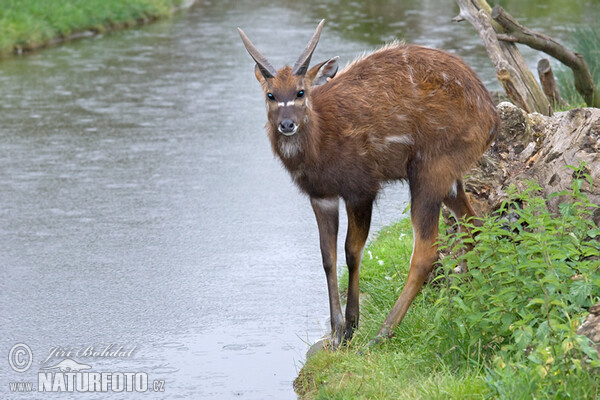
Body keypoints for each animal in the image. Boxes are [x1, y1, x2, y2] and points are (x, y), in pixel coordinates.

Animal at [239, 20, 502, 348]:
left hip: (429, 171)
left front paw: (350, 328)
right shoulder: (321, 196)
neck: (321, 141)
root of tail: (492, 118)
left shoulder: (361, 189)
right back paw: (476, 292)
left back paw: (382, 333)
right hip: (450, 178)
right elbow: (327, 256)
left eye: (300, 92)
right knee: (473, 224)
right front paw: (337, 332)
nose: (287, 125)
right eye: (271, 95)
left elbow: (352, 251)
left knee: (426, 251)